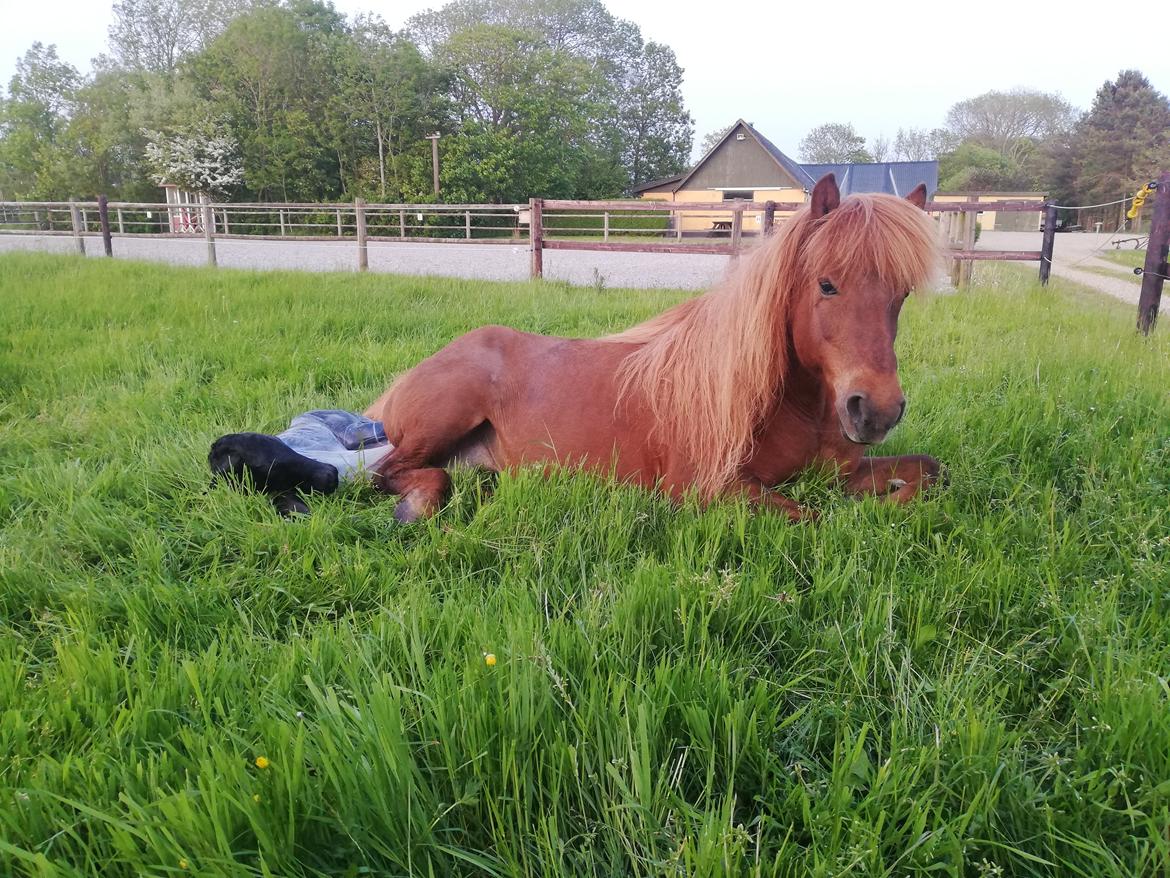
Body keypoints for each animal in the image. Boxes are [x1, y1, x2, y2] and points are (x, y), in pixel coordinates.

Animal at [210, 174, 940, 519]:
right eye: (826, 284)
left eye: (903, 292)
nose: (875, 410)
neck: (785, 401)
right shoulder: (714, 491)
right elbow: (810, 518)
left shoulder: (842, 466)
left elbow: (930, 474)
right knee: (389, 471)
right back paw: (413, 507)